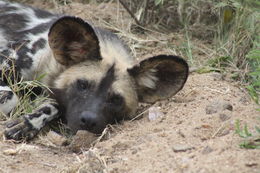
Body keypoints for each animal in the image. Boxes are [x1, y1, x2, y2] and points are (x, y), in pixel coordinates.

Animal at [0, 0, 187, 140]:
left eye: (116, 99)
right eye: (82, 85)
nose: (89, 121)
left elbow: (53, 105)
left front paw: (29, 122)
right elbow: (11, 96)